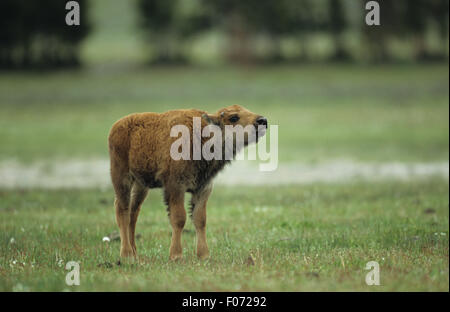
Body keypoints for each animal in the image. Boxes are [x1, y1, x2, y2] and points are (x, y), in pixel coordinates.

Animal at [107, 105, 266, 260]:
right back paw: (126, 254)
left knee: (133, 212)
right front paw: (176, 255)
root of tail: (116, 126)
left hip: (141, 185)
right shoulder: (176, 187)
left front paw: (203, 255)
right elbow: (179, 219)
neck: (202, 135)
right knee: (122, 210)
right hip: (122, 178)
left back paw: (135, 253)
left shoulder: (203, 188)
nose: (262, 121)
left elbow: (200, 219)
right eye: (233, 117)